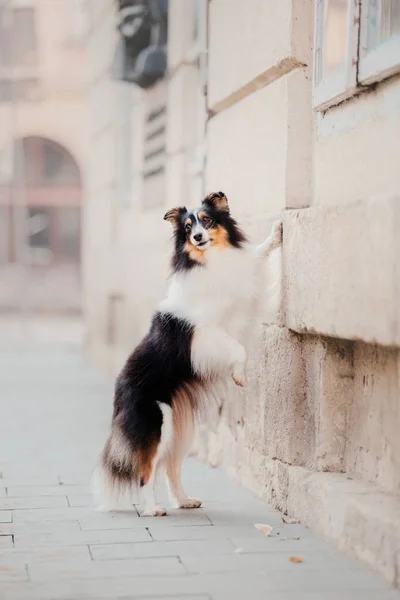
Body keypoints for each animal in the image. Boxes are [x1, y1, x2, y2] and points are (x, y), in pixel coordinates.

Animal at [92, 191, 282, 516]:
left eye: (207, 220)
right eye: (187, 227)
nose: (197, 237)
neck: (210, 261)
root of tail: (117, 392)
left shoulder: (241, 279)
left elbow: (255, 256)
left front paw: (277, 234)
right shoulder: (204, 334)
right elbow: (238, 347)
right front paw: (239, 376)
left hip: (182, 431)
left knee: (171, 469)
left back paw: (184, 501)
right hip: (158, 426)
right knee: (146, 471)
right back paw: (152, 509)